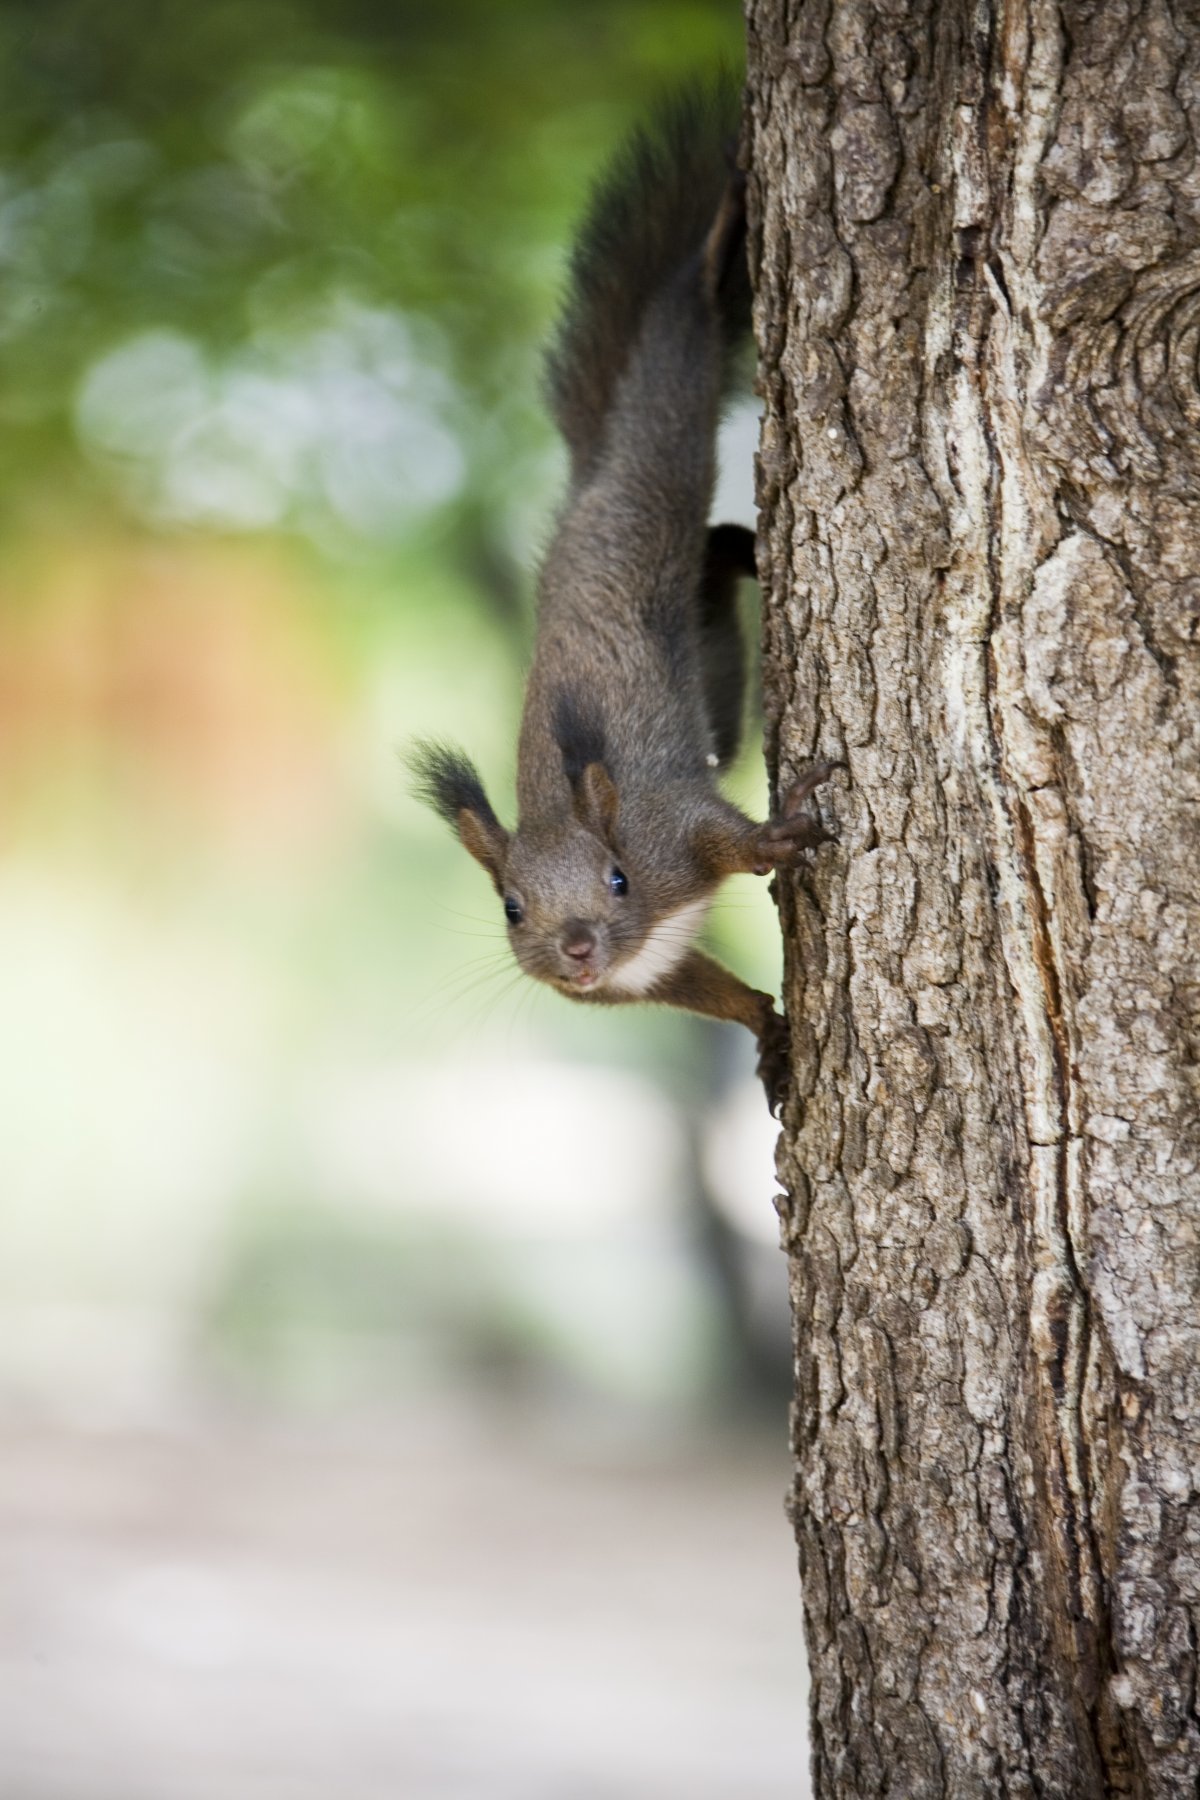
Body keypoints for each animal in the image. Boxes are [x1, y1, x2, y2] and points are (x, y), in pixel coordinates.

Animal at [413, 84, 834, 1108]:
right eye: (510, 906)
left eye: (616, 879)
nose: (574, 951)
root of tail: (587, 483)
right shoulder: (653, 974)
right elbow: (715, 993)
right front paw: (769, 1033)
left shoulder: (667, 822)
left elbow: (725, 831)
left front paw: (776, 840)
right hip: (709, 646)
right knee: (715, 556)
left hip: (661, 455)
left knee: (679, 330)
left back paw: (719, 237)